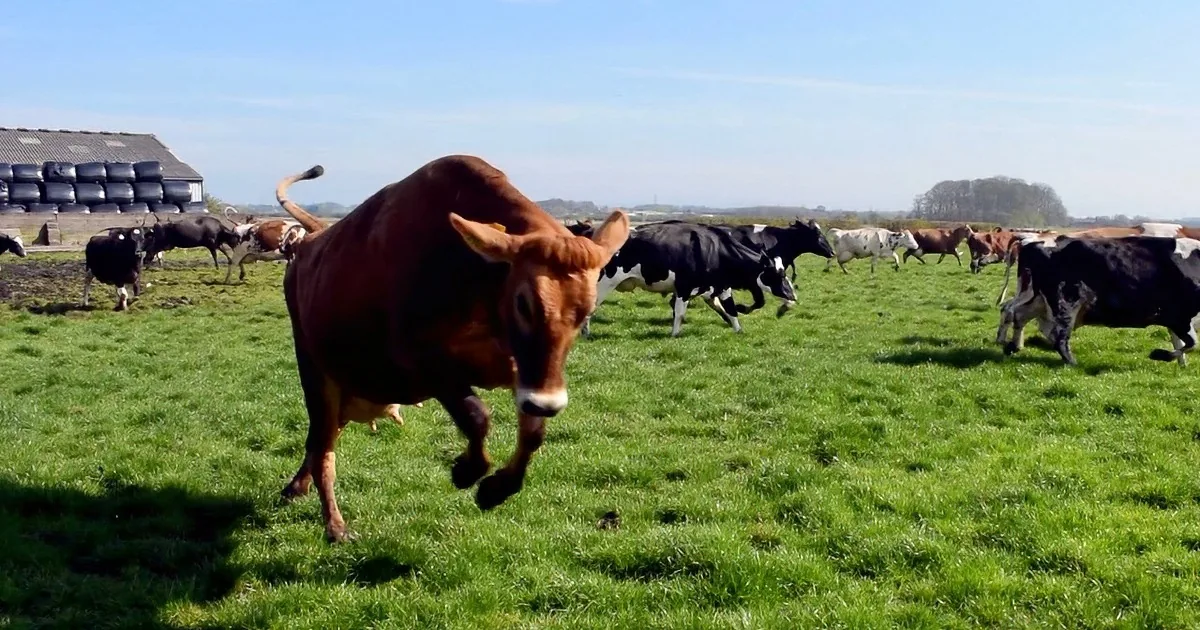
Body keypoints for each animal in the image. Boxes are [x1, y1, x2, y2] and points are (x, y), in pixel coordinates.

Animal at [272, 155, 629, 542]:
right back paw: (335, 525)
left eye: (587, 310)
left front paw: (497, 488)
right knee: (323, 447)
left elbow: (533, 432)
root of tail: (312, 238)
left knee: (321, 440)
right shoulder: (424, 362)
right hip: (317, 374)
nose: (548, 403)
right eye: (524, 303)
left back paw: (298, 487)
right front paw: (467, 470)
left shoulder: (521, 370)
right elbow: (477, 416)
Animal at [583, 220, 797, 338]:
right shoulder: (684, 288)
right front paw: (674, 334)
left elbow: (731, 310)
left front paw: (738, 330)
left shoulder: (721, 286)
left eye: (784, 272)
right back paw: (586, 334)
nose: (793, 296)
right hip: (603, 283)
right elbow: (679, 313)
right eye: (779, 275)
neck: (714, 249)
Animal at [997, 235, 1200, 366]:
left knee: (1017, 314)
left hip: (1036, 298)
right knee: (1058, 334)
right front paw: (1159, 354)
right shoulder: (1179, 317)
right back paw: (1072, 362)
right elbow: (1191, 344)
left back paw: (1013, 346)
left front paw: (1181, 365)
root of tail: (1030, 240)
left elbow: (1182, 344)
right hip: (1066, 301)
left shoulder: (1176, 321)